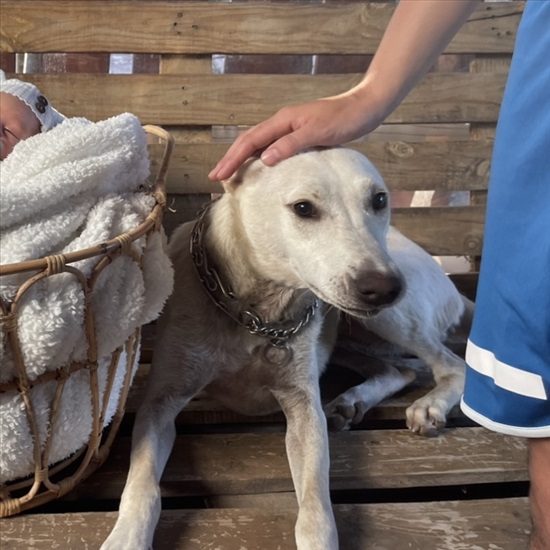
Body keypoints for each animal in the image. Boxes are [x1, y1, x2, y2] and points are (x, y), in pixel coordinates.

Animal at [103, 148, 474, 550]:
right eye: (303, 207)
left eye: (379, 200)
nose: (384, 288)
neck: (259, 311)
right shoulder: (162, 402)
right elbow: (142, 483)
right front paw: (126, 536)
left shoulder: (303, 409)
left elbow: (315, 506)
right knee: (400, 368)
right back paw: (352, 400)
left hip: (390, 318)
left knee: (451, 365)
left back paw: (428, 405)